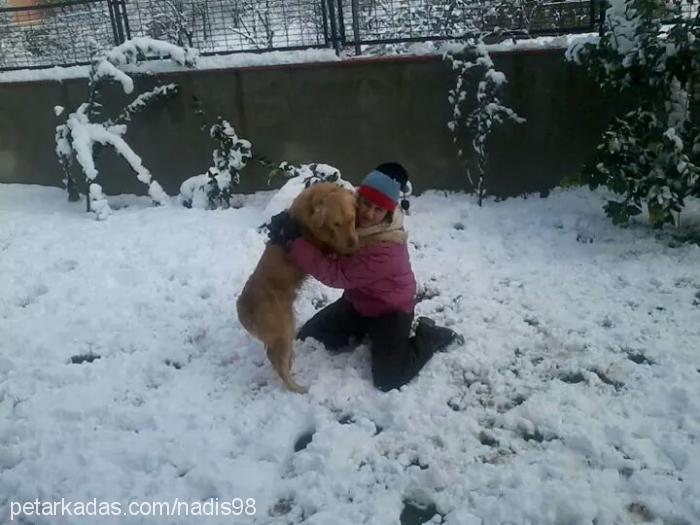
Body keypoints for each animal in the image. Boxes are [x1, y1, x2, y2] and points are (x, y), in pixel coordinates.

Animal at [237, 182, 358, 390]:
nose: (353, 245)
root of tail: (244, 305)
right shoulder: (327, 244)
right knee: (278, 362)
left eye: (351, 219)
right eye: (336, 224)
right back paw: (297, 388)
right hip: (284, 329)